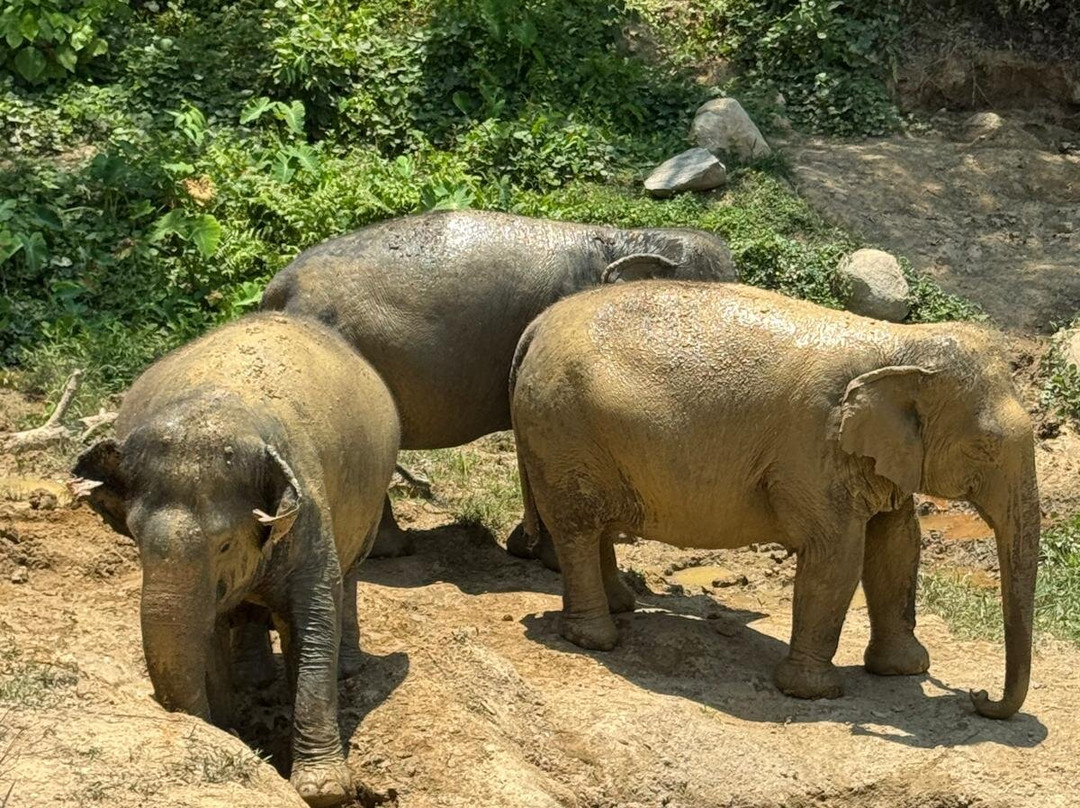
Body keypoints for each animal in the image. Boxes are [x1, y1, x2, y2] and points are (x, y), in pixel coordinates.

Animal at [71, 313, 400, 807]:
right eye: (135, 539)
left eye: (224, 545)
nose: (195, 723)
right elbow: (203, 628)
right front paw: (229, 733)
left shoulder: (309, 507)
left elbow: (315, 618)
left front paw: (323, 790)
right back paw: (253, 680)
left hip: (371, 494)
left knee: (351, 573)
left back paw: (344, 667)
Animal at [509, 281, 1039, 720]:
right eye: (984, 448)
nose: (978, 697)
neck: (898, 343)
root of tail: (537, 324)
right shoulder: (813, 447)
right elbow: (837, 556)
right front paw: (813, 693)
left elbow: (897, 544)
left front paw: (906, 669)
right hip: (562, 427)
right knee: (577, 525)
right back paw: (595, 638)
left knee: (591, 523)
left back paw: (622, 606)